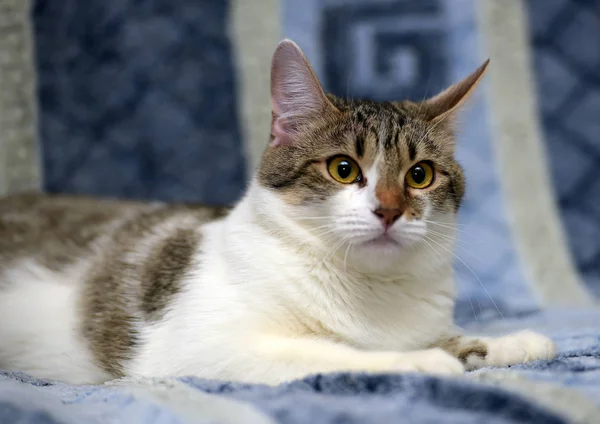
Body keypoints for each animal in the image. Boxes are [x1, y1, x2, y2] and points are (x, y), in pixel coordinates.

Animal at [0, 39, 556, 384]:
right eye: (343, 168)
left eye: (419, 175)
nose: (389, 210)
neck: (368, 289)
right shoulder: (198, 347)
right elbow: (334, 353)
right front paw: (420, 361)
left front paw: (508, 343)